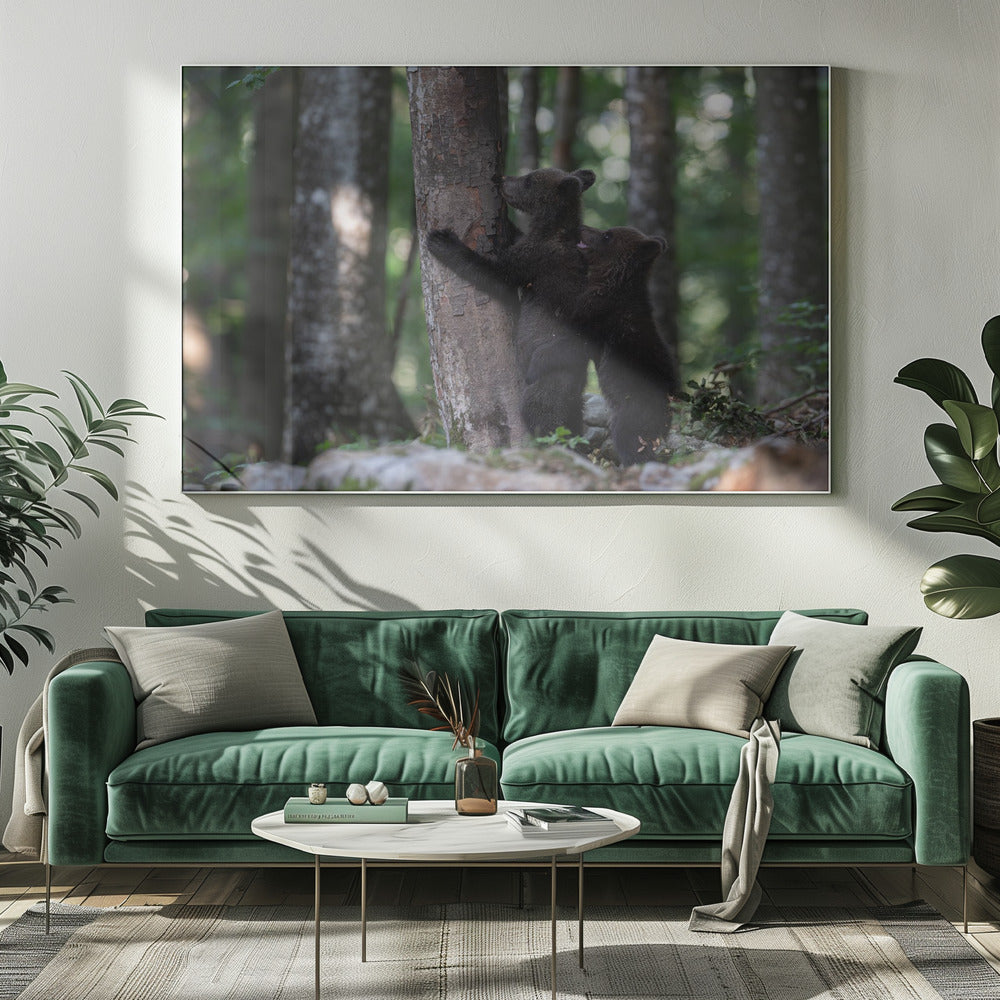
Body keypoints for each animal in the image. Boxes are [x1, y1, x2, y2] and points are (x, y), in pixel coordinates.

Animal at [427, 167, 596, 438]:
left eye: (529, 180)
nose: (502, 179)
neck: (551, 228)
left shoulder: (536, 259)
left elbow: (496, 275)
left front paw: (442, 240)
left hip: (548, 376)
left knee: (541, 411)